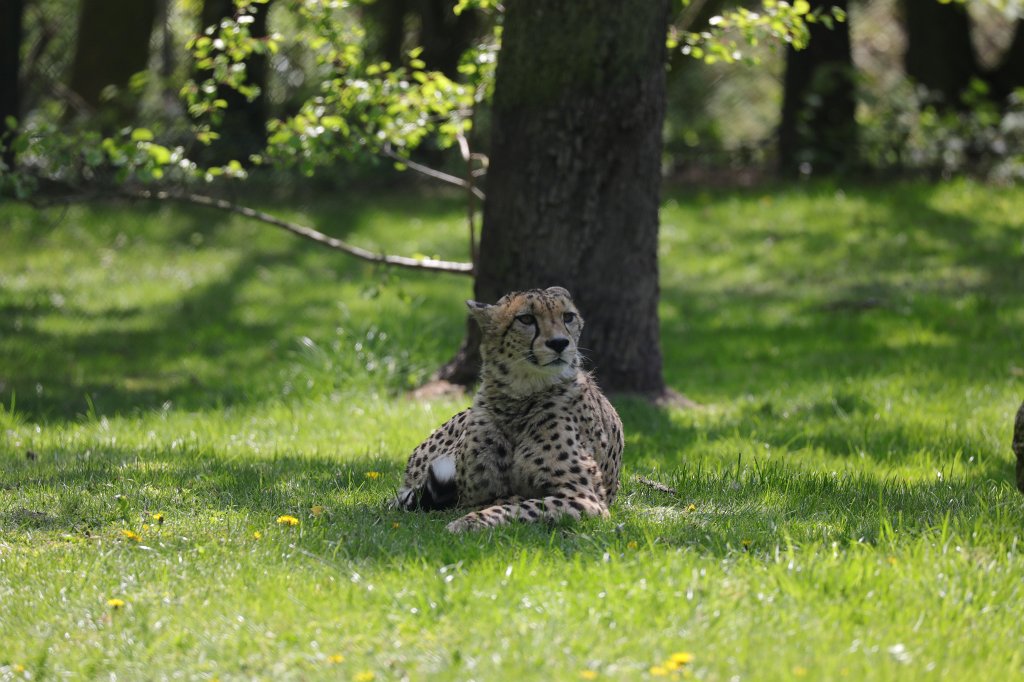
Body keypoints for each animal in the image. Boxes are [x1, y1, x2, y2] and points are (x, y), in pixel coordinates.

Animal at [392, 286, 624, 533]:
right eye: (526, 319)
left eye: (568, 317)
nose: (559, 343)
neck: (517, 399)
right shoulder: (469, 493)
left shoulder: (585, 498)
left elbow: (521, 507)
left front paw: (469, 522)